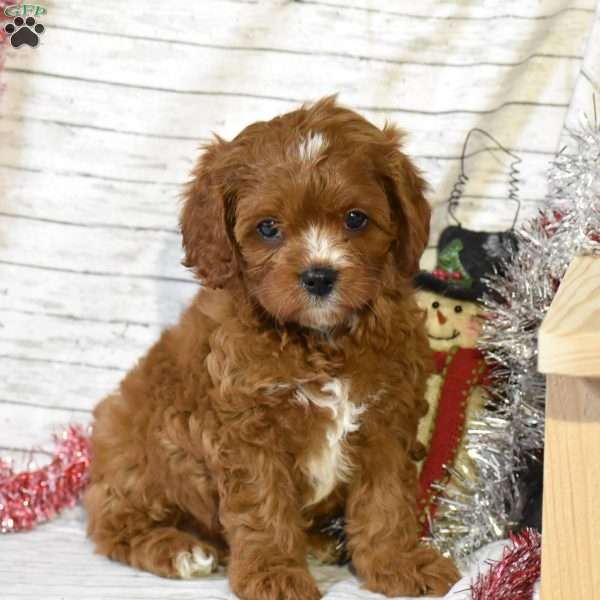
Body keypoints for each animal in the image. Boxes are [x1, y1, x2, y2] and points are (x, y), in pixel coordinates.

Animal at [84, 96, 460, 596]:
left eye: (355, 219)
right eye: (267, 228)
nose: (319, 276)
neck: (321, 339)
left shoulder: (388, 417)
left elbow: (386, 504)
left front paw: (398, 565)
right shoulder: (248, 428)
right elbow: (263, 508)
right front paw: (275, 575)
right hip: (134, 450)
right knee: (112, 523)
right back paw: (181, 551)